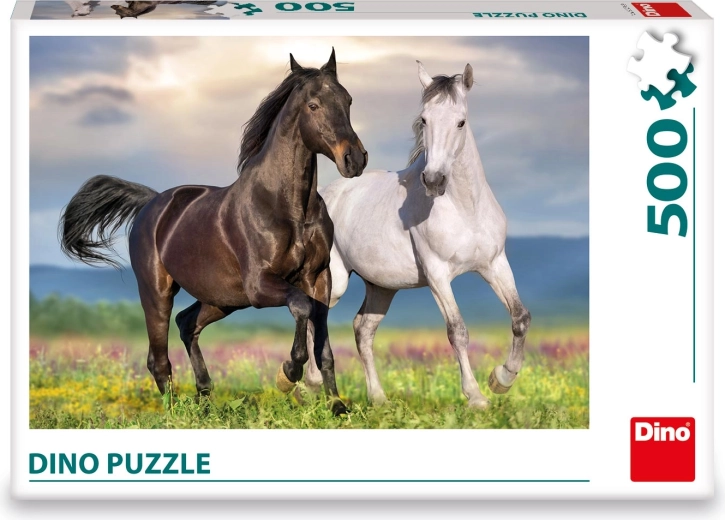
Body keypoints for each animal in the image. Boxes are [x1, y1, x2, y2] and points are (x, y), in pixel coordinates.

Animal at [59, 50, 367, 416]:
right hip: (157, 292)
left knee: (186, 323)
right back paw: (175, 412)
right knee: (158, 358)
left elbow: (324, 349)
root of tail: (152, 203)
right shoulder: (260, 285)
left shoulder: (318, 279)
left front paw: (338, 408)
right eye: (314, 105)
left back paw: (205, 396)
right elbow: (300, 307)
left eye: (348, 100)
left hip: (222, 299)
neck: (288, 208)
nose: (355, 160)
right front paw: (287, 374)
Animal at [317, 62, 530, 409]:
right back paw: (307, 386)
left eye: (461, 121)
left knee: (363, 329)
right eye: (425, 119)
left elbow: (520, 317)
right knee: (314, 316)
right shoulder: (437, 274)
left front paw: (501, 379)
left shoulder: (494, 264)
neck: (465, 208)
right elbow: (457, 330)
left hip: (381, 287)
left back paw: (378, 398)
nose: (433, 180)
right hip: (335, 281)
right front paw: (476, 396)